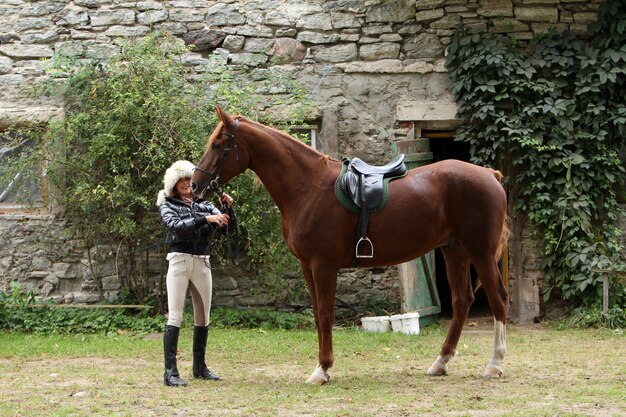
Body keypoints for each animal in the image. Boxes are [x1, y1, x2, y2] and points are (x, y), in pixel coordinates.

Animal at [193, 108, 510, 384]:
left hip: (480, 252)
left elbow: (325, 315)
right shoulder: (307, 266)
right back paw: (440, 363)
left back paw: (494, 365)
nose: (195, 185)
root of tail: (489, 174)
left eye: (218, 144)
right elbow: (318, 316)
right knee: (461, 301)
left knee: (498, 300)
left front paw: (322, 370)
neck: (307, 187)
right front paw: (322, 367)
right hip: (455, 250)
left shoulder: (324, 265)